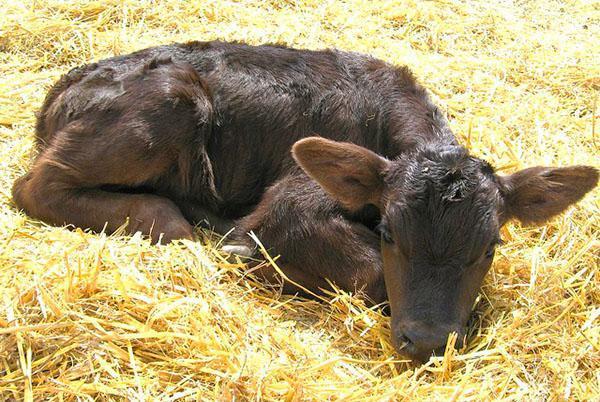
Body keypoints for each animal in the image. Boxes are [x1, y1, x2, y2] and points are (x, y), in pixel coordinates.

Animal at [11, 40, 596, 362]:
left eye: (491, 247)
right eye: (389, 233)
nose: (428, 340)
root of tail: (62, 88)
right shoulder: (288, 205)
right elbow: (367, 270)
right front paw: (248, 254)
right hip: (169, 100)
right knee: (34, 187)